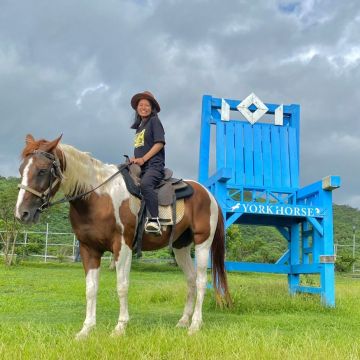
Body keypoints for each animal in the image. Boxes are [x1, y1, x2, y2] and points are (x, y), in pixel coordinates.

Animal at [14, 134, 231, 338]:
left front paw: (120, 328)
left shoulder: (122, 246)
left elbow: (122, 286)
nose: (22, 213)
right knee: (191, 279)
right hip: (181, 247)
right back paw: (183, 321)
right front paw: (86, 330)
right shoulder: (88, 249)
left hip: (203, 243)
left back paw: (195, 325)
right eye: (21, 170)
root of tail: (209, 195)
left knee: (201, 281)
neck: (97, 197)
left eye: (42, 170)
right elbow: (91, 288)